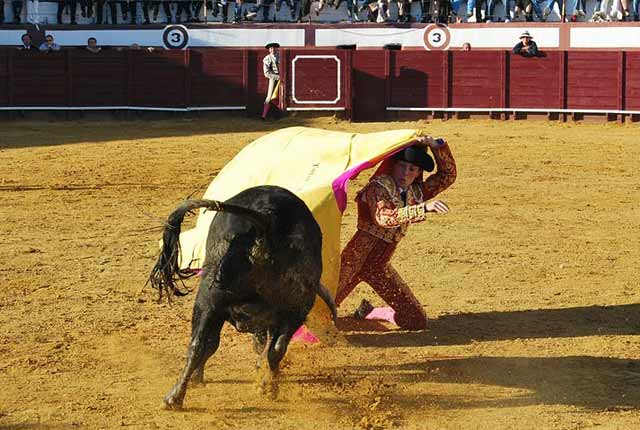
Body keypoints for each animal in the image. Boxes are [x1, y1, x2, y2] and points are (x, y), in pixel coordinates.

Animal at [148, 185, 338, 410]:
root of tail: (268, 218)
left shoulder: (218, 310)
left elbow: (210, 344)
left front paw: (196, 378)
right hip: (297, 307)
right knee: (277, 349)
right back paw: (268, 388)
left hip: (208, 297)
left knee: (197, 344)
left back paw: (173, 398)